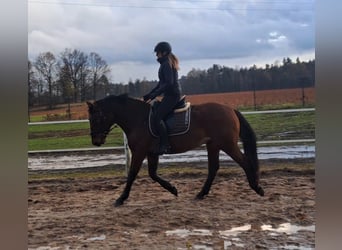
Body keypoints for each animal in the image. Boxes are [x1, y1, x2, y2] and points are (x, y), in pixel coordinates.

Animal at [87, 94, 264, 207]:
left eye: (95, 118)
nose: (96, 141)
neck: (138, 119)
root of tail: (230, 109)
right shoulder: (151, 153)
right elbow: (152, 174)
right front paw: (173, 189)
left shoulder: (139, 152)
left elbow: (132, 175)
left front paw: (121, 199)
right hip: (213, 145)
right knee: (214, 168)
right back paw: (201, 194)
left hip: (227, 144)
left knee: (245, 162)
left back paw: (257, 188)